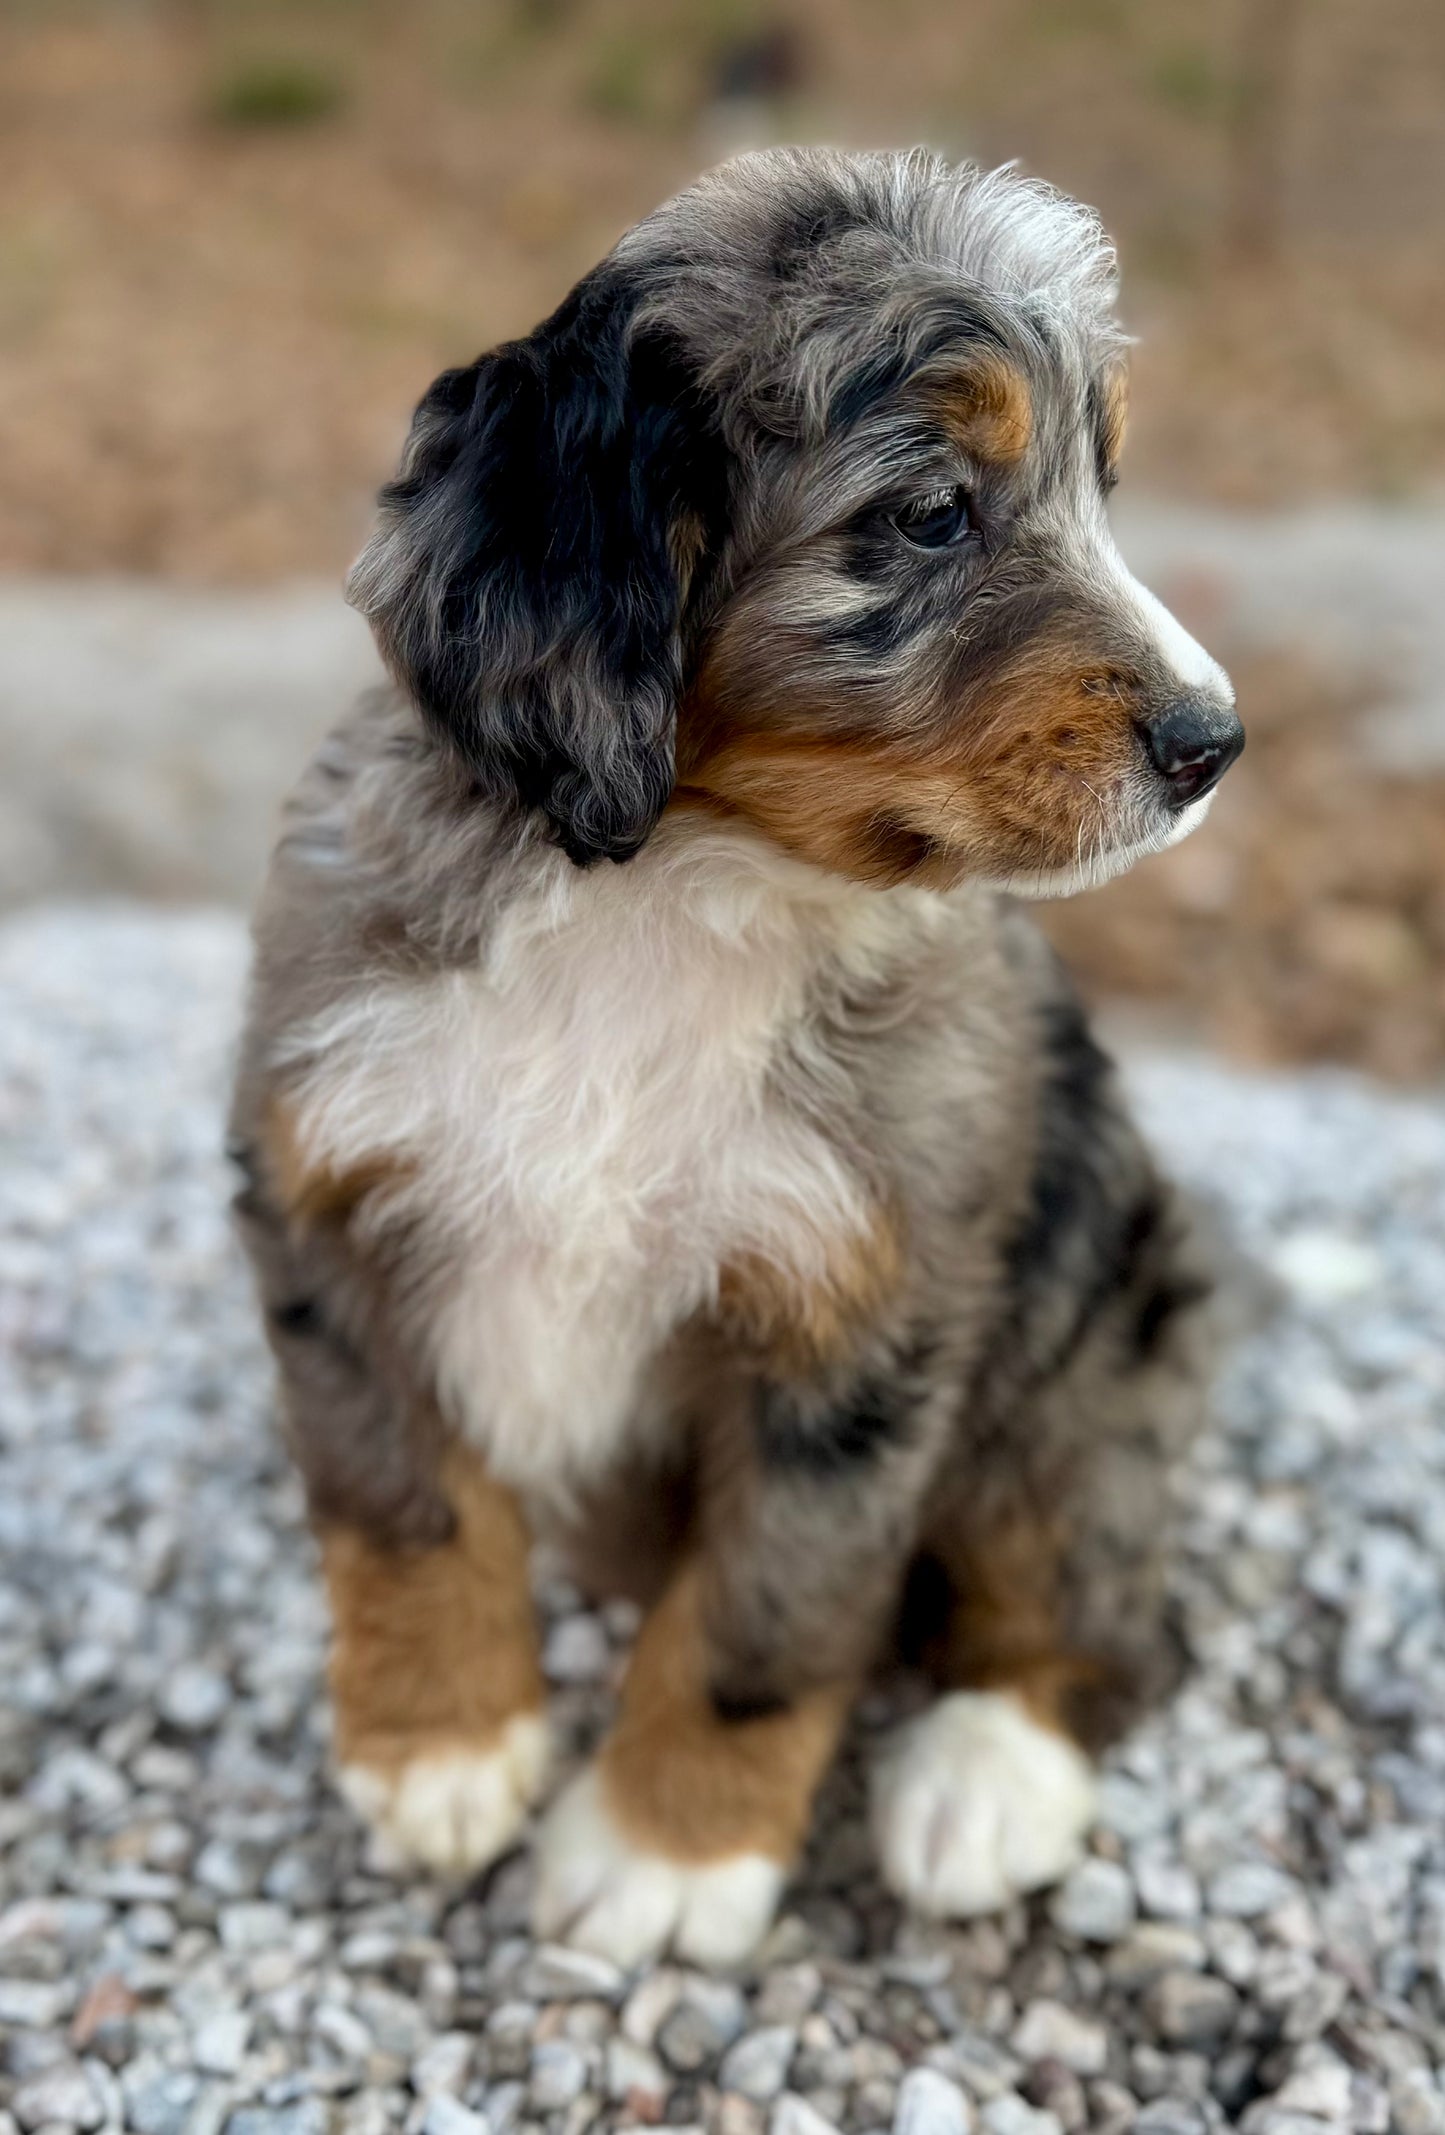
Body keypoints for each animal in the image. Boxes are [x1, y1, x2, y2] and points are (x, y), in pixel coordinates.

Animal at [228, 150, 1237, 1964]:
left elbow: (762, 1620)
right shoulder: (326, 1196)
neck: (674, 886)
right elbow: (401, 1501)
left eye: (1101, 486)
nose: (1216, 741)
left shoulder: (859, 1337)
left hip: (1104, 1342)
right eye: (929, 513)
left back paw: (982, 1780)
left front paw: (665, 1851)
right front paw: (439, 1744)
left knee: (1103, 1602)